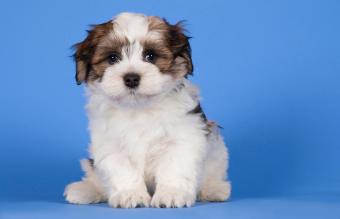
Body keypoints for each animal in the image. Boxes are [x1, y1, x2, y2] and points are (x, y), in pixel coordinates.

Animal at [63, 12, 231, 209]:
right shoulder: (110, 143)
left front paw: (171, 193)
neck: (139, 108)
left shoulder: (183, 137)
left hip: (217, 147)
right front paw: (130, 194)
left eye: (150, 56)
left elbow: (174, 166)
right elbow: (122, 169)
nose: (131, 78)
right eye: (112, 58)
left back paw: (215, 189)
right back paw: (84, 190)